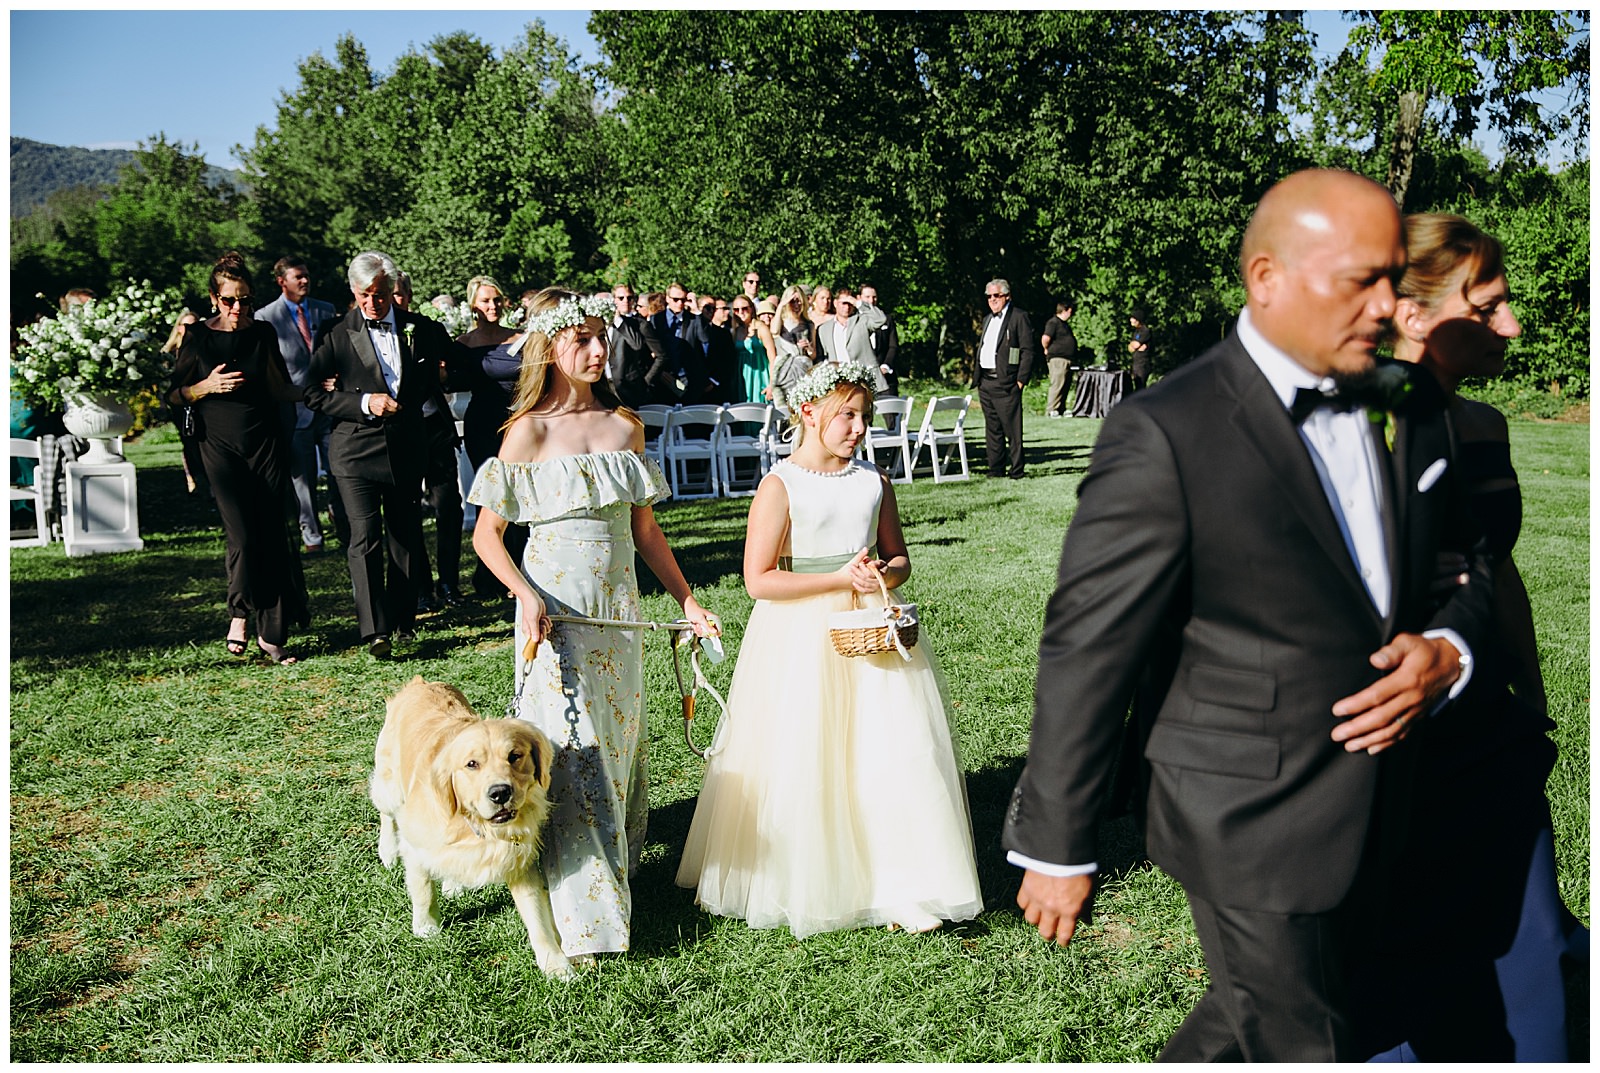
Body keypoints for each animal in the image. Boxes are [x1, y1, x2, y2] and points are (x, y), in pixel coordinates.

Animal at [371, 684, 572, 978]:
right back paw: (387, 851)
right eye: (472, 764)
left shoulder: (519, 862)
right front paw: (426, 926)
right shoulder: (416, 847)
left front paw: (556, 964)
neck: (475, 825)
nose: (500, 793)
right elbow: (423, 891)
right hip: (389, 786)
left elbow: (537, 918)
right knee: (385, 810)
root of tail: (419, 682)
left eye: (514, 756)